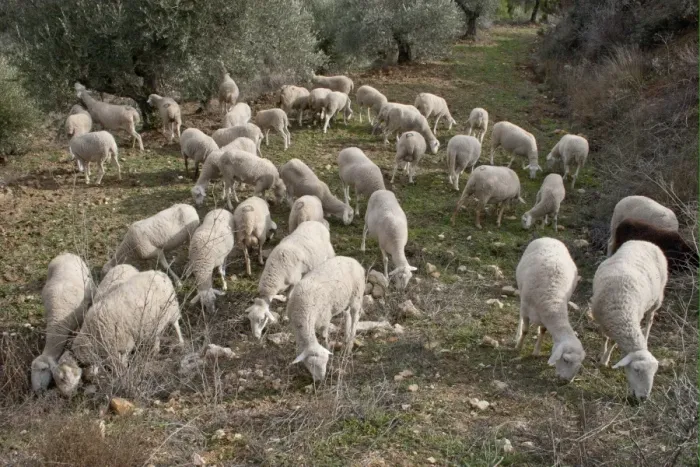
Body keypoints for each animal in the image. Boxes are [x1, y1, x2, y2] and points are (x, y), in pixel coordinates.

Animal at [52, 270, 183, 397]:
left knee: (176, 324)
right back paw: (155, 350)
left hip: (172, 307)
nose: (66, 396)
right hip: (157, 320)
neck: (90, 337)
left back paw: (181, 342)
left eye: (63, 378)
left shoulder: (117, 349)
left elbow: (121, 368)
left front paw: (122, 379)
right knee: (157, 334)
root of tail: (161, 273)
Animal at [514, 238, 585, 382]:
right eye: (566, 360)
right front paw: (519, 346)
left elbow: (543, 331)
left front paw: (536, 352)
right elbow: (525, 330)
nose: (566, 382)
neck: (553, 301)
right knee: (520, 317)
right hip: (521, 293)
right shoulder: (526, 309)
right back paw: (516, 337)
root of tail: (550, 238)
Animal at [591, 240, 668, 399]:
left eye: (654, 373)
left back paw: (645, 336)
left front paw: (605, 358)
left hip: (657, 300)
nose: (643, 398)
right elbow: (605, 338)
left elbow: (613, 342)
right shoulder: (602, 320)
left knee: (650, 319)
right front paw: (603, 357)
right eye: (636, 370)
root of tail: (646, 242)